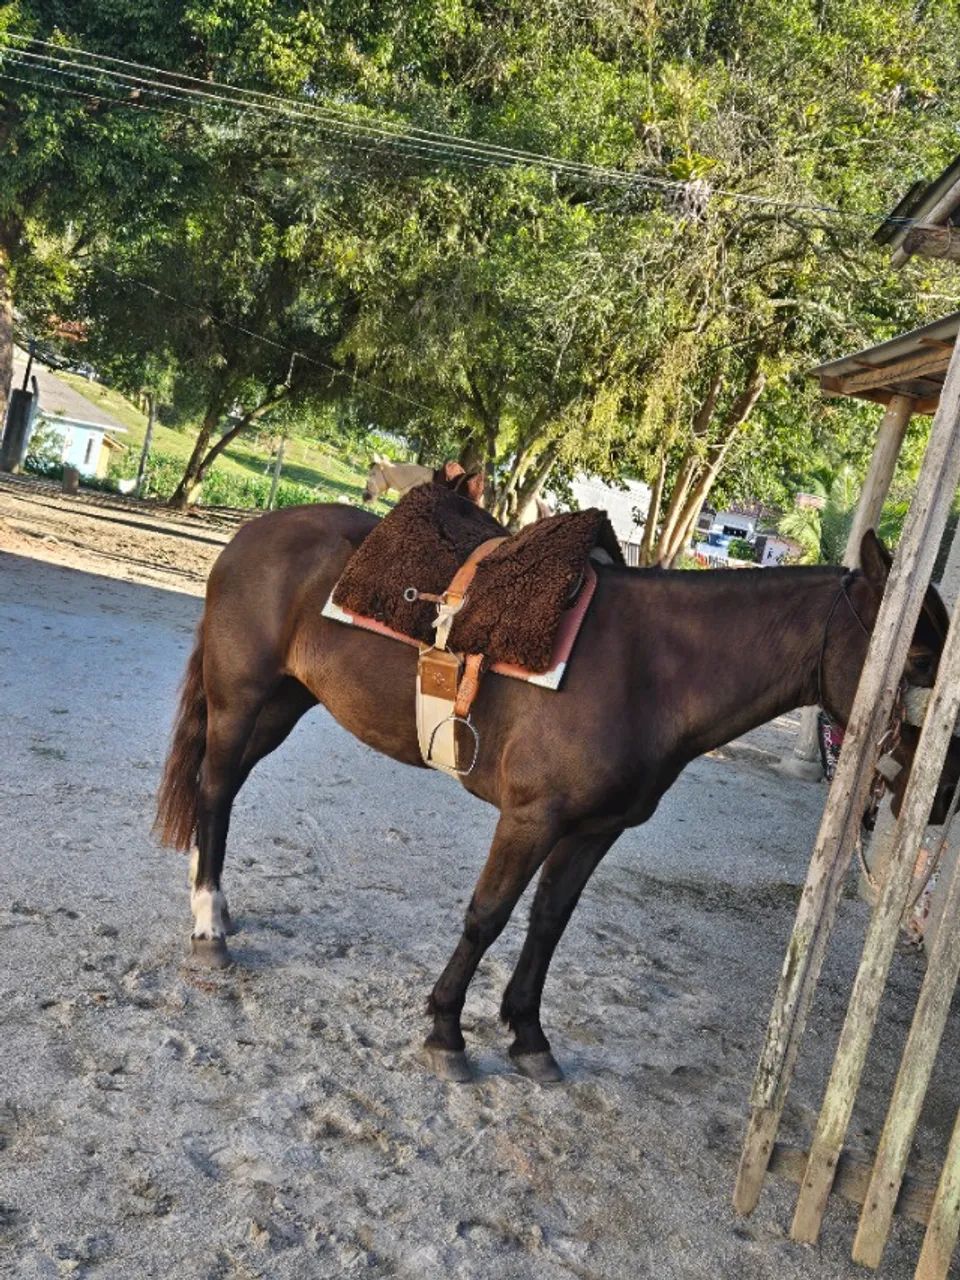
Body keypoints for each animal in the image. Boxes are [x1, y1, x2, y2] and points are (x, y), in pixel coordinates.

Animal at [155, 507, 951, 1085]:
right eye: (917, 657)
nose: (940, 796)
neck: (651, 670)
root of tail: (255, 532)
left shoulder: (592, 831)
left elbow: (547, 923)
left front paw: (529, 1037)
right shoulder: (530, 819)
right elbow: (488, 917)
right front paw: (446, 1032)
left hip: (283, 705)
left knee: (219, 792)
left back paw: (210, 900)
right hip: (242, 700)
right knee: (216, 788)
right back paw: (208, 924)